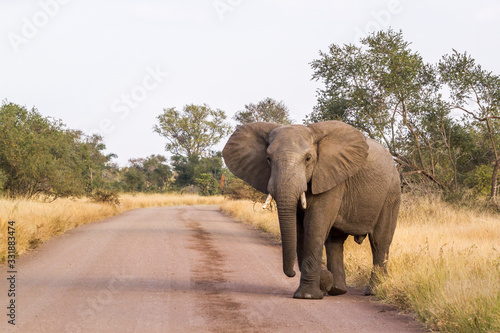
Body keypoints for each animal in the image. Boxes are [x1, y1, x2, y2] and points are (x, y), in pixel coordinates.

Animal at [224, 120, 402, 298]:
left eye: (308, 159)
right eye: (268, 159)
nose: (292, 273)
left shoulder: (331, 177)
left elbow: (315, 225)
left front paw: (307, 296)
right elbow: (299, 229)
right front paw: (321, 285)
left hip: (391, 194)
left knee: (380, 241)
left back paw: (372, 291)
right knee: (335, 241)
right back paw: (337, 290)